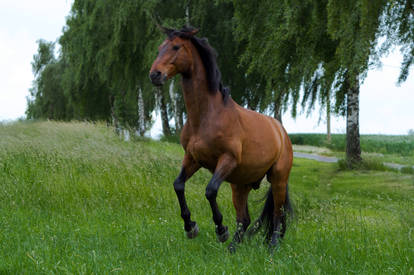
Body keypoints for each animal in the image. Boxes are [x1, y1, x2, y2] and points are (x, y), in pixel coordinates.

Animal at [150, 27, 292, 253]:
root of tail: (281, 131)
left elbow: (210, 191)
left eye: (176, 47)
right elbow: (178, 185)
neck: (207, 116)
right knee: (244, 219)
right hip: (240, 185)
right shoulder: (192, 158)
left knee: (278, 214)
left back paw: (272, 247)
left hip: (278, 178)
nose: (155, 75)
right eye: (159, 48)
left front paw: (220, 229)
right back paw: (232, 249)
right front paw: (190, 227)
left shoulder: (227, 159)